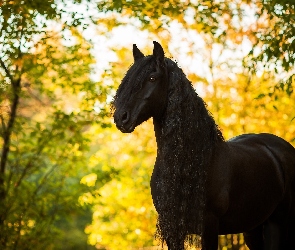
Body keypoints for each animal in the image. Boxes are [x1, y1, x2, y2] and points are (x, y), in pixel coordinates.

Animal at [112, 42, 295, 249]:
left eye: (152, 78)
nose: (121, 118)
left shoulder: (209, 226)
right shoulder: (173, 230)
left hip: (277, 224)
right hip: (253, 229)